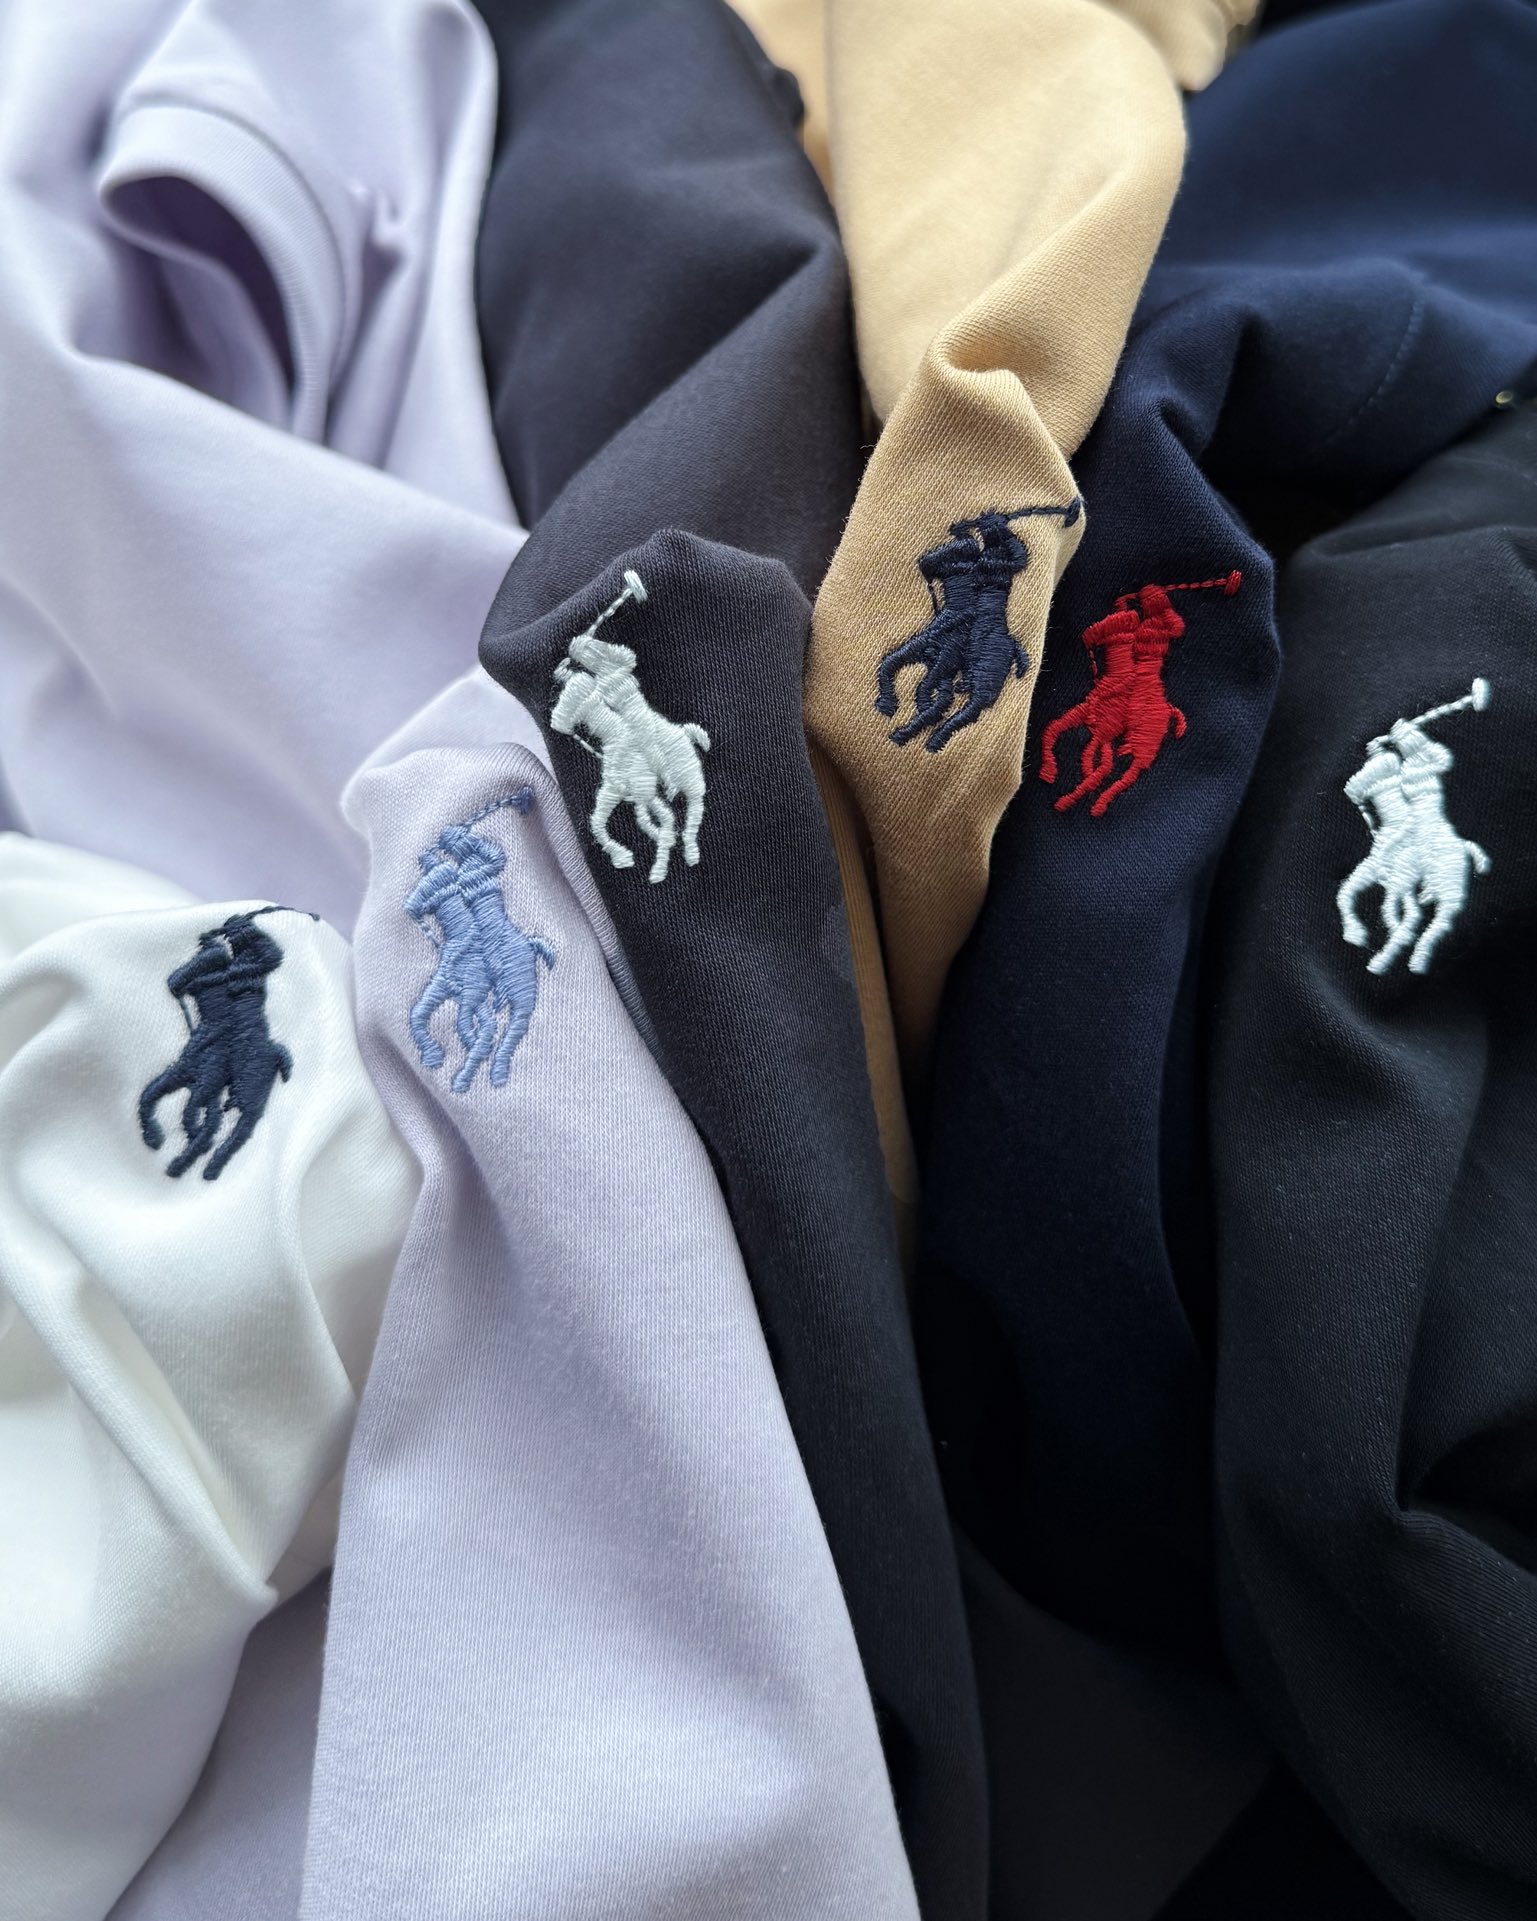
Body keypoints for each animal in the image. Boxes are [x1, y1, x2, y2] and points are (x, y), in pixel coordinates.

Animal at [139, 911, 294, 1180]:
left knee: (241, 1129)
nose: (173, 981)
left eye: (204, 961)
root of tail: (277, 1054)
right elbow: (151, 1095)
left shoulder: (205, 1082)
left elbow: (192, 1115)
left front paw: (188, 1137)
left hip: (250, 1092)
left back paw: (206, 1167)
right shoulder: (183, 1076)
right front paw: (154, 1138)